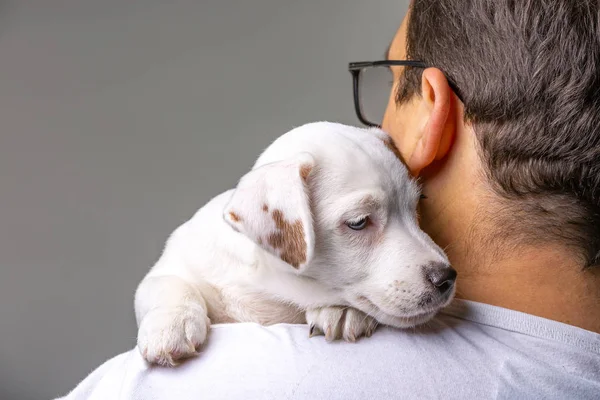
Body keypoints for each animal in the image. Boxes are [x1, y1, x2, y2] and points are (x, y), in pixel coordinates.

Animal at [135, 121, 454, 366]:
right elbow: (168, 283)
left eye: (416, 207)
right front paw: (170, 325)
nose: (448, 278)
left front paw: (343, 311)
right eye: (359, 222)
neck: (269, 292)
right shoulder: (178, 261)